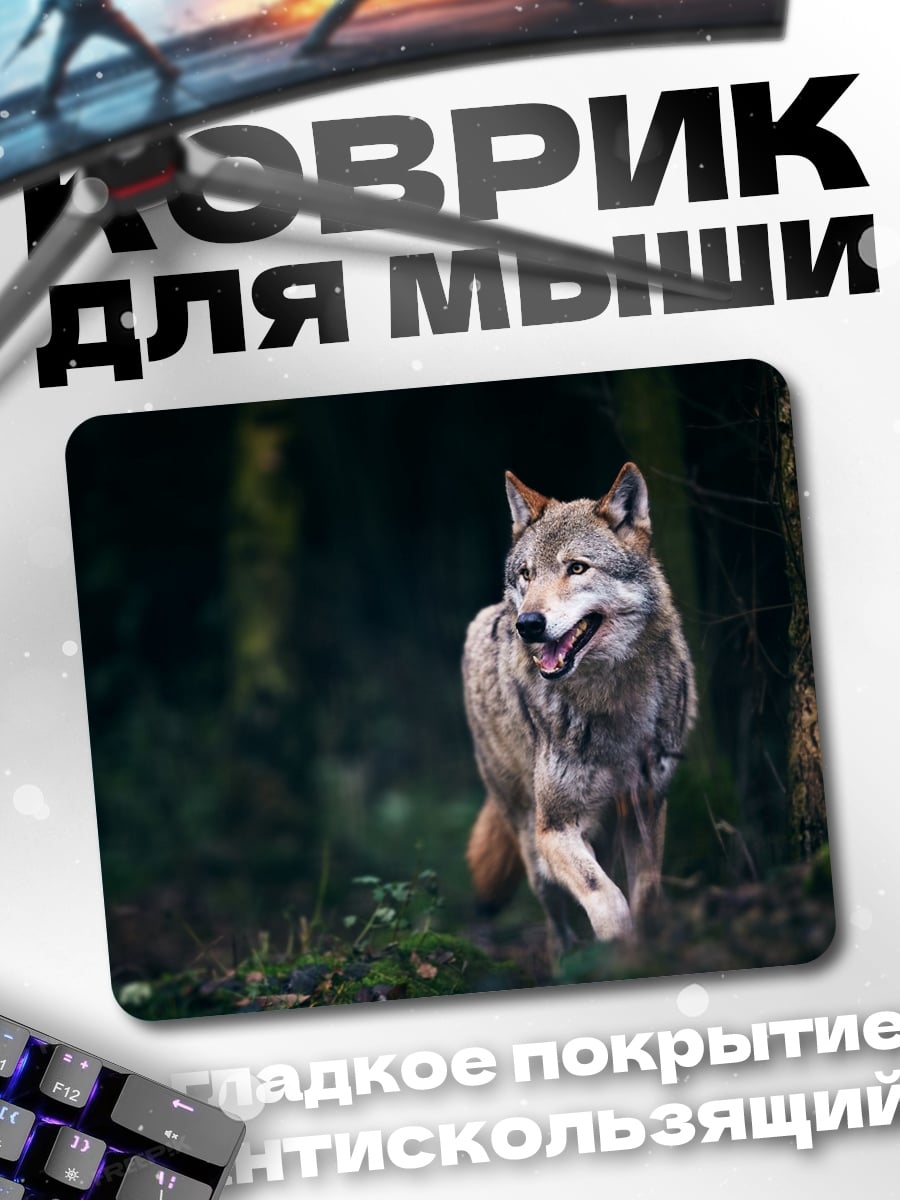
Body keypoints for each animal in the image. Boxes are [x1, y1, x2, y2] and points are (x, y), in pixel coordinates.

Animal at [463, 463, 696, 960]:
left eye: (576, 567)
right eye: (527, 574)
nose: (528, 625)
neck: (612, 699)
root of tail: (492, 614)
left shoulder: (647, 806)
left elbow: (644, 895)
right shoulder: (554, 829)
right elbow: (607, 898)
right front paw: (619, 950)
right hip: (532, 844)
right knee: (555, 919)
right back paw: (565, 959)